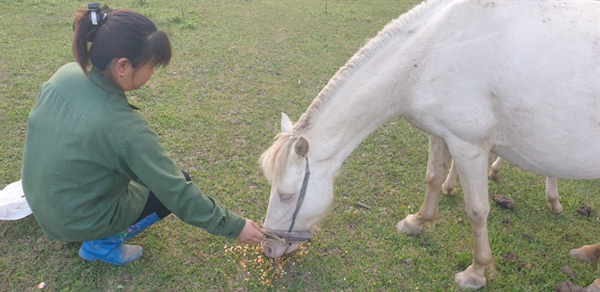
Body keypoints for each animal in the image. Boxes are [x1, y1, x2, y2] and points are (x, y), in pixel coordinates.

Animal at [260, 0, 596, 288]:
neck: (432, 53)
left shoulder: (469, 146)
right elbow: (433, 177)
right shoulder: (440, 134)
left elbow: (477, 210)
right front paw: (418, 222)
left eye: (287, 196)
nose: (268, 247)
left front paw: (477, 271)